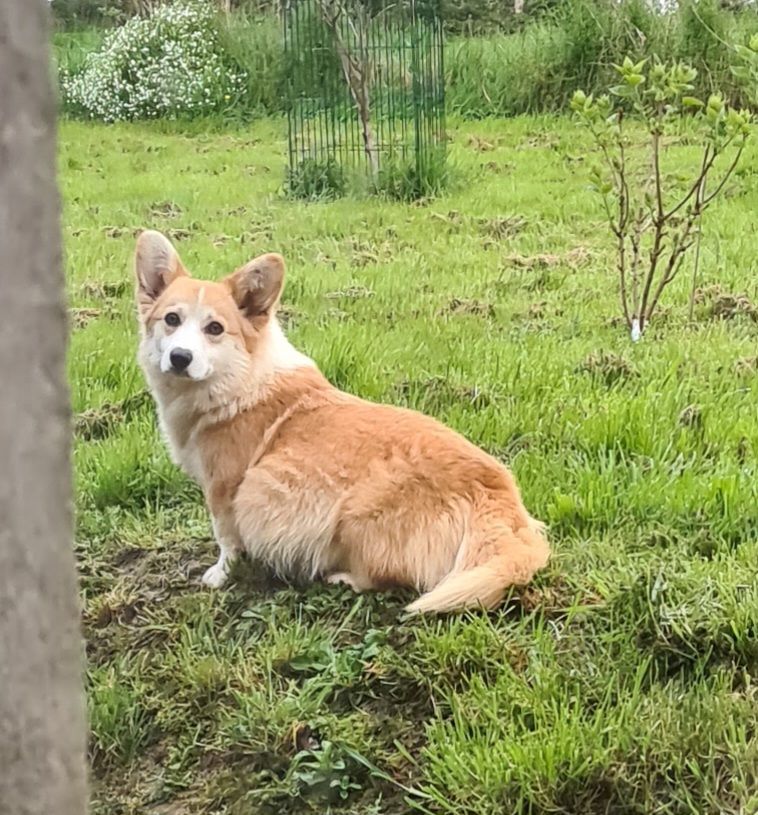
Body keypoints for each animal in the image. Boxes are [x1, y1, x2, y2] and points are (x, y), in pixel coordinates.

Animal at [135, 230, 552, 612]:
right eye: (171, 319)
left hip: (355, 513)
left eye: (215, 329)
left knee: (386, 576)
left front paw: (219, 576)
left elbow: (226, 539)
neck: (237, 380)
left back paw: (342, 577)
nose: (180, 358)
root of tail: (499, 496)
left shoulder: (224, 489)